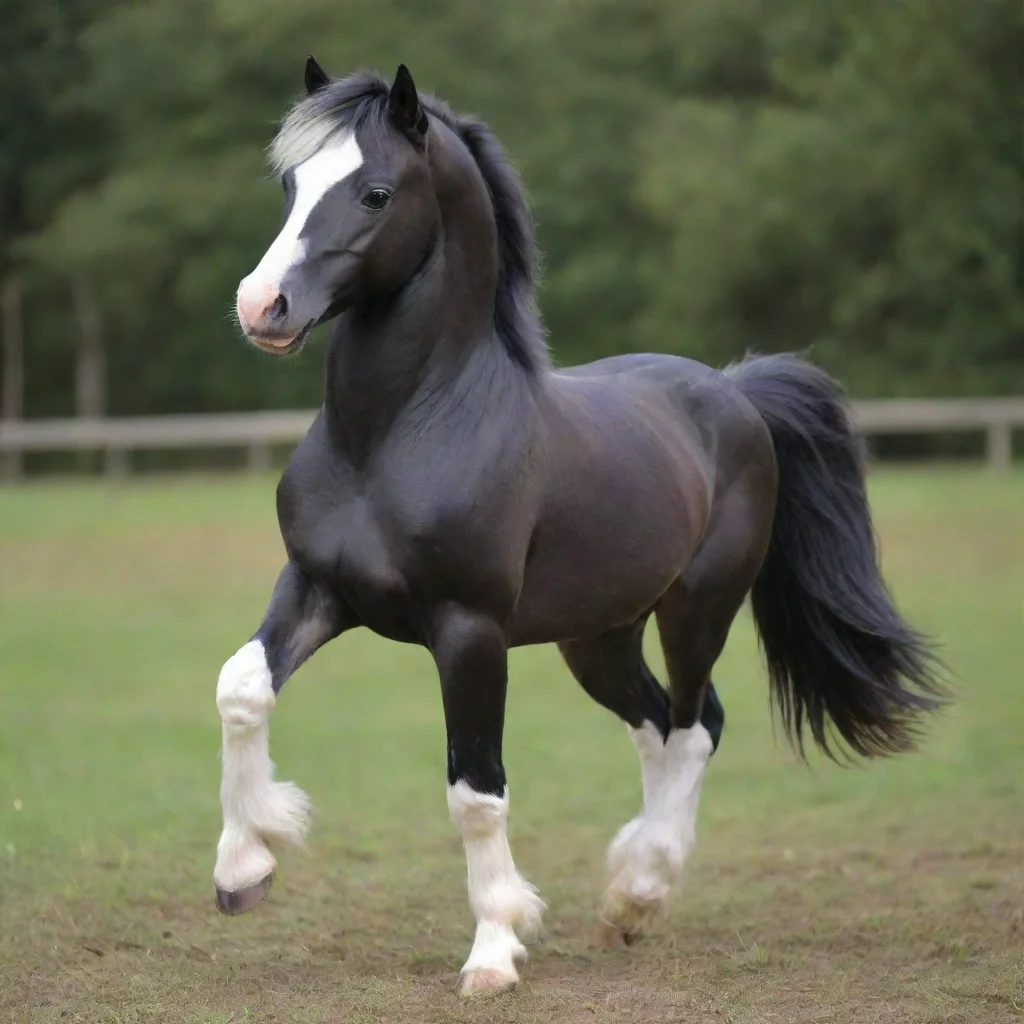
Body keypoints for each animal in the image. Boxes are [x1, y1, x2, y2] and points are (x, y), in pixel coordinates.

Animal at [214, 59, 943, 995]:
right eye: (291, 183)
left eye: (375, 192)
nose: (262, 306)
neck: (394, 434)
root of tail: (735, 389)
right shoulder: (316, 588)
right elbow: (241, 687)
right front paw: (245, 869)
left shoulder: (469, 631)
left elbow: (475, 790)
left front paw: (495, 950)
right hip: (597, 637)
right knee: (657, 725)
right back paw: (626, 902)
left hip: (698, 608)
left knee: (693, 727)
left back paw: (639, 890)